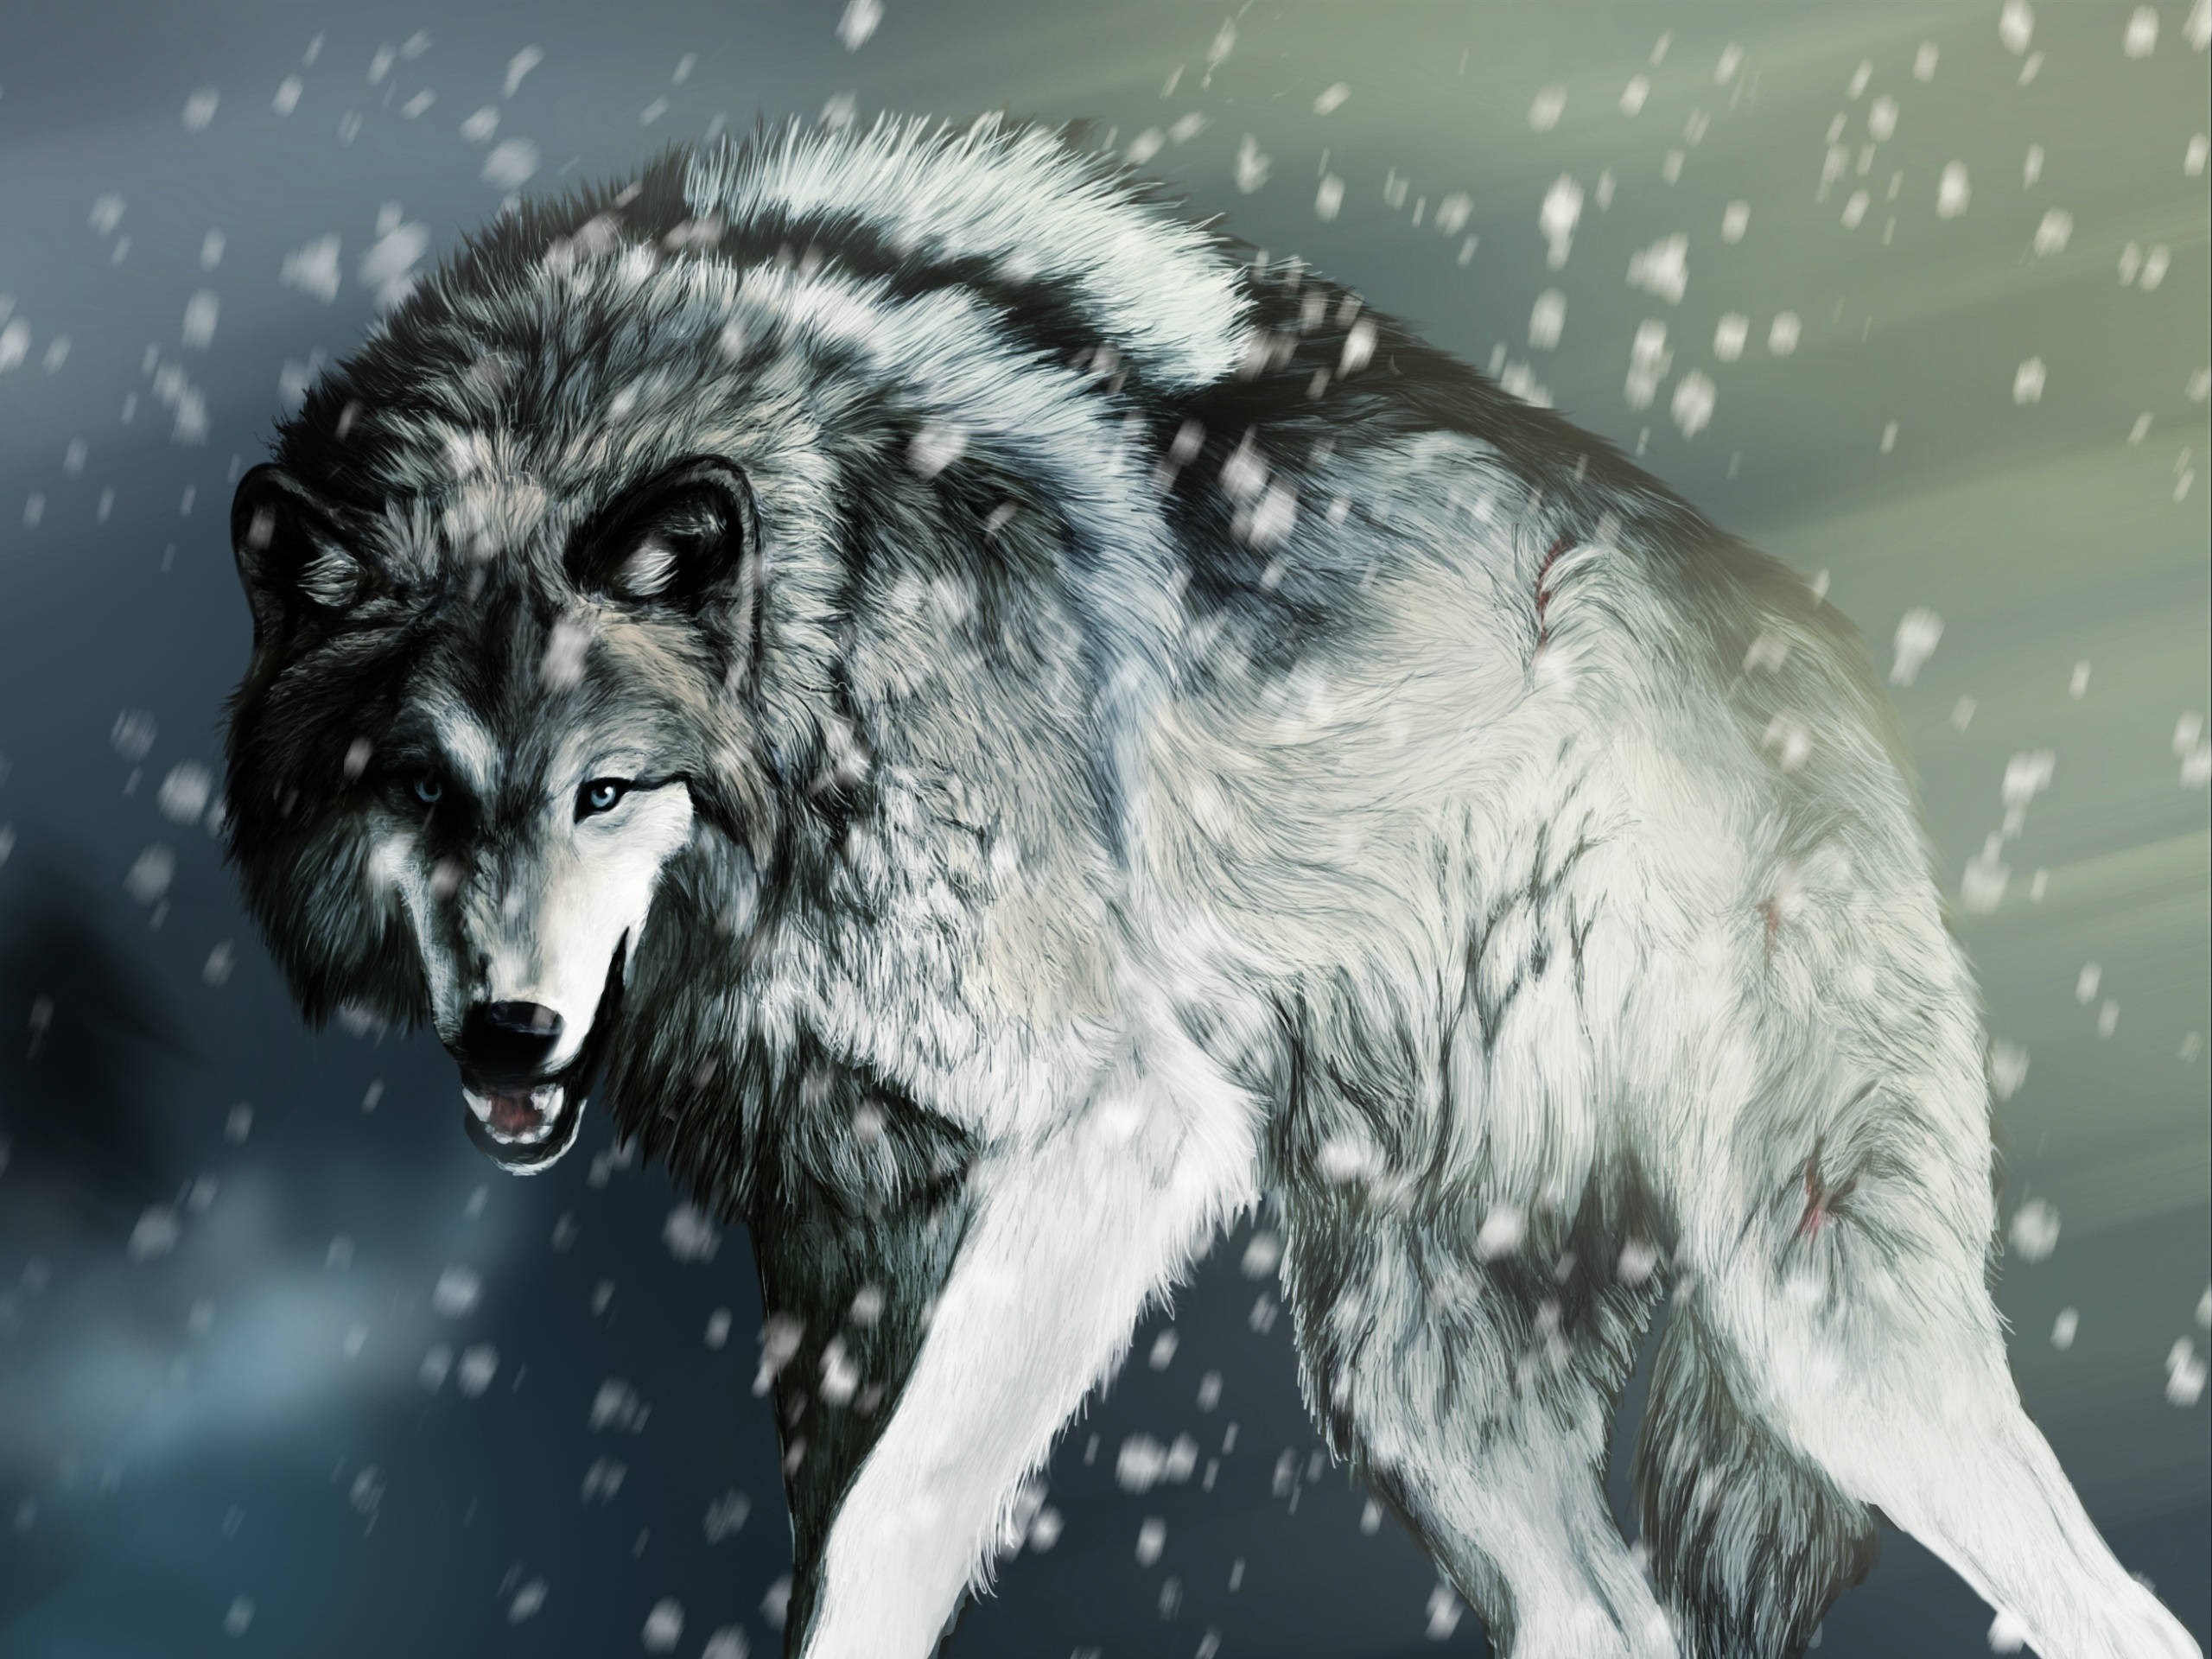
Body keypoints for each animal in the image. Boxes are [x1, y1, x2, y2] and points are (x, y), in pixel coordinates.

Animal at [220, 115, 2200, 1659]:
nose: (507, 1031)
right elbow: (834, 1538)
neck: (823, 651)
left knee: (2110, 1603)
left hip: (1812, 1325)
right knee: (1605, 1610)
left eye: (607, 789)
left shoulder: (1117, 1130)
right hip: (1412, 1382)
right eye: (422, 789)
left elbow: (896, 1524)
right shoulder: (841, 1252)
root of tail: (1811, 638)